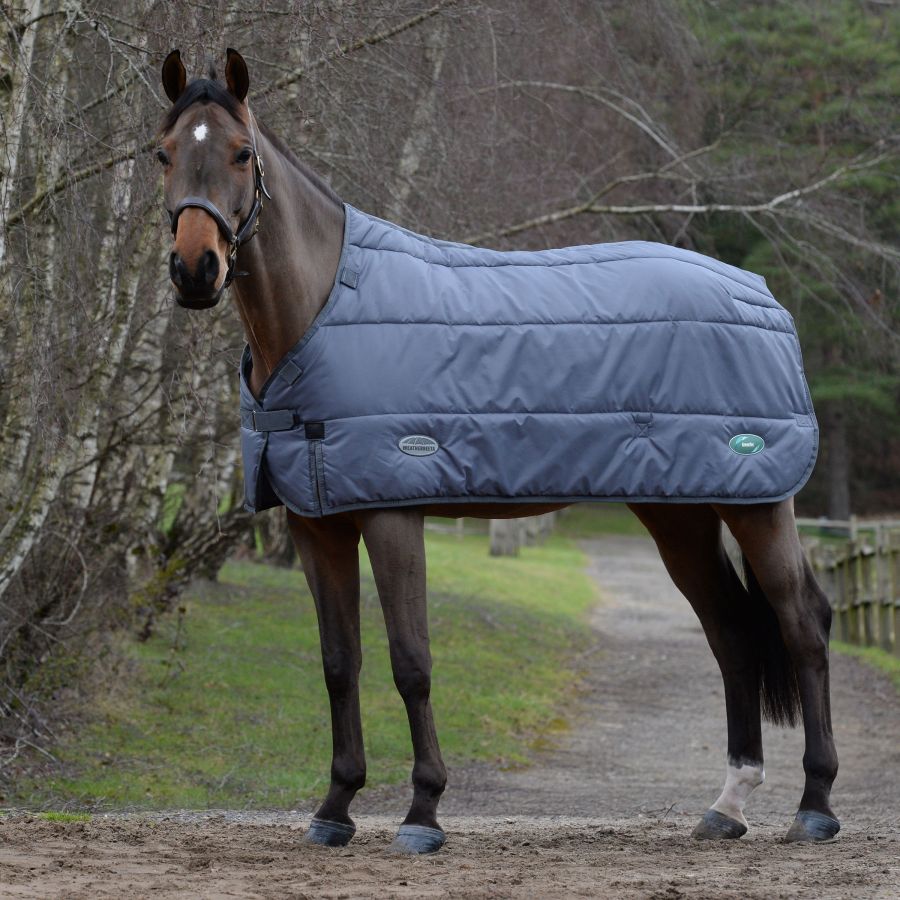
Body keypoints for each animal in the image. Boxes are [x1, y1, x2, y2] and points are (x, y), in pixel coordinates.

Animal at [156, 48, 839, 854]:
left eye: (241, 152)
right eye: (163, 153)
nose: (195, 269)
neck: (324, 310)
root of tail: (762, 296)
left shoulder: (392, 510)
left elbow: (411, 661)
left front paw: (422, 813)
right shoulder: (316, 521)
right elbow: (338, 664)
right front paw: (335, 809)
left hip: (759, 502)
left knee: (802, 625)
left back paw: (815, 808)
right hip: (682, 513)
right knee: (731, 631)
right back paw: (727, 806)